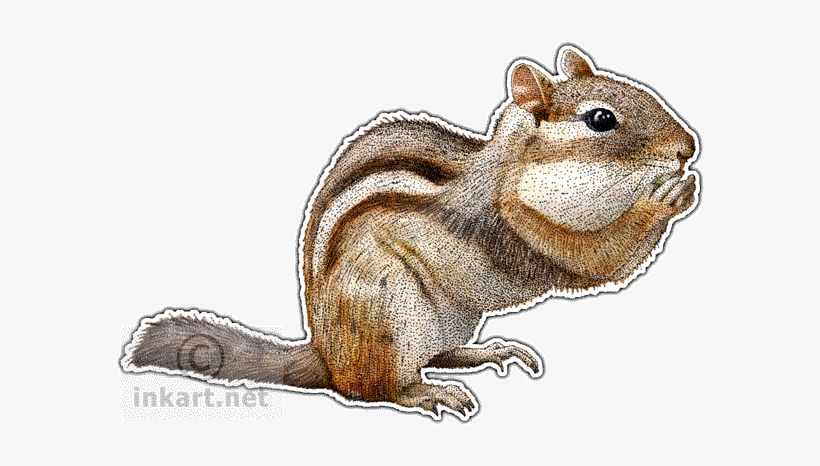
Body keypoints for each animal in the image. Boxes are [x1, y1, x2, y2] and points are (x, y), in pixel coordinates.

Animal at [121, 45, 699, 420]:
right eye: (601, 120)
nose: (688, 147)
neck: (509, 171)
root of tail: (325, 353)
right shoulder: (516, 229)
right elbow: (594, 260)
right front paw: (667, 198)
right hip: (387, 310)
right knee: (370, 388)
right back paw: (425, 394)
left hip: (449, 319)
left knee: (437, 355)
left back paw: (485, 353)